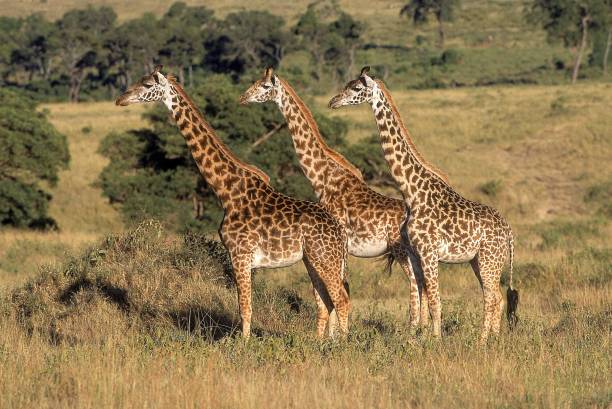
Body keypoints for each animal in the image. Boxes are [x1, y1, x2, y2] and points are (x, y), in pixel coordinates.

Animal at [116, 66, 352, 338]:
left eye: (146, 85)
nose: (120, 99)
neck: (226, 190)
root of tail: (341, 233)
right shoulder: (243, 257)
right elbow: (246, 306)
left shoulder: (239, 253)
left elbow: (245, 307)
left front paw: (243, 344)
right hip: (313, 260)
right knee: (325, 301)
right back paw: (320, 343)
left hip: (326, 259)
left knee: (341, 299)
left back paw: (344, 344)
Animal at [239, 66, 430, 328]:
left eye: (265, 86)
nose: (243, 97)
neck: (321, 177)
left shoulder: (338, 241)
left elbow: (338, 289)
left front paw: (335, 336)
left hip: (403, 251)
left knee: (415, 284)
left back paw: (413, 331)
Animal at [328, 67, 520, 342]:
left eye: (356, 88)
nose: (333, 102)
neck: (412, 192)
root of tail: (509, 231)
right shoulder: (416, 254)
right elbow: (423, 300)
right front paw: (418, 340)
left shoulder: (429, 253)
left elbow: (435, 302)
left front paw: (435, 342)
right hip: (480, 260)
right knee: (497, 297)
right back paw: (493, 339)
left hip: (489, 260)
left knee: (492, 298)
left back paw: (482, 342)